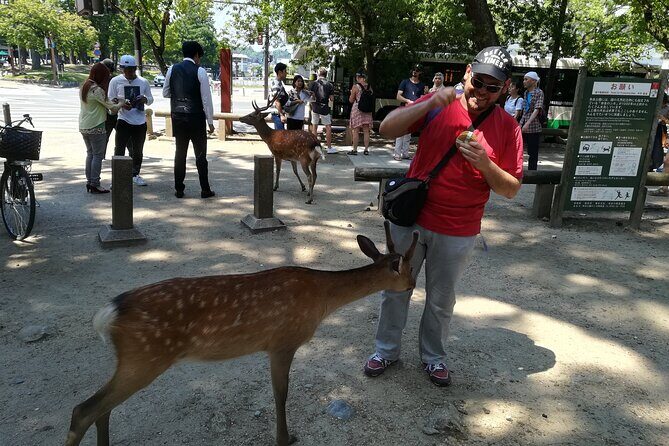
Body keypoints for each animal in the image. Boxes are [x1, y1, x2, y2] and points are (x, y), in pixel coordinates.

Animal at [65, 221, 419, 446]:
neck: (322, 301)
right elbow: (280, 394)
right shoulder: (283, 341)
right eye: (411, 268)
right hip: (145, 356)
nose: (413, 286)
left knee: (101, 408)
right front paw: (285, 438)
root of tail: (108, 314)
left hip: (135, 359)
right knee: (84, 409)